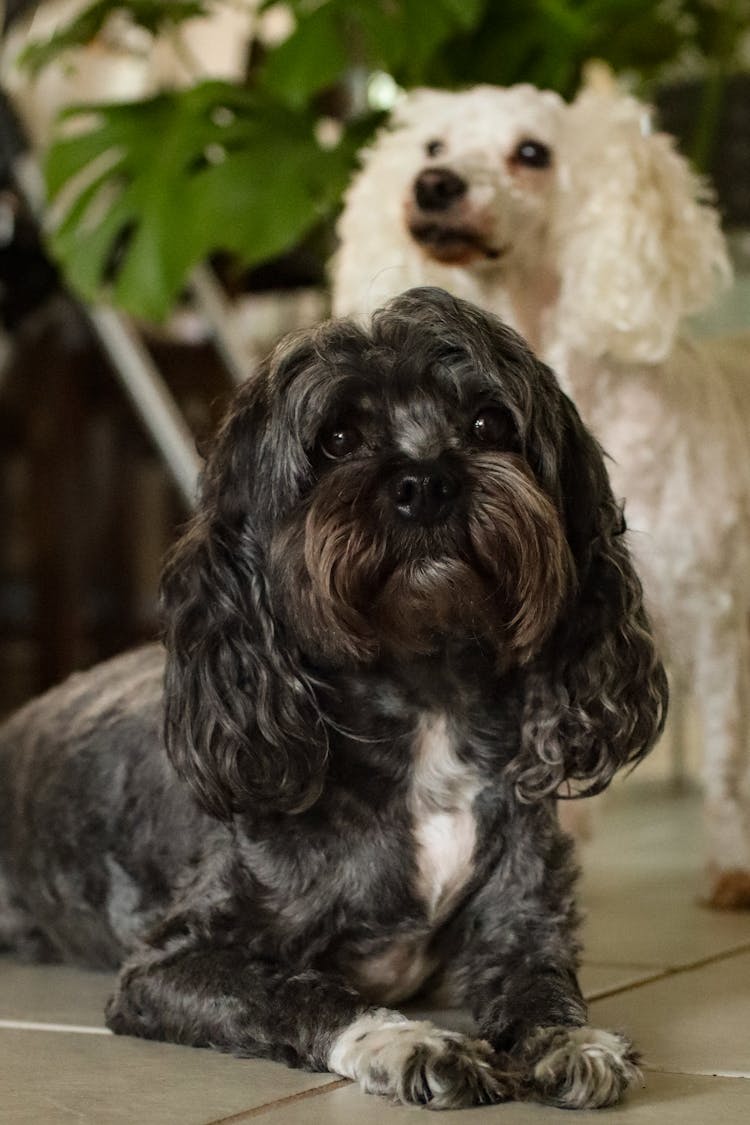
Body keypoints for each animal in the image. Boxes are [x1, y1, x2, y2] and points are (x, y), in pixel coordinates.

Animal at [0, 288, 670, 1107]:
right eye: (338, 438)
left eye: (489, 423)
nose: (426, 482)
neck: (427, 704)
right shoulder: (167, 963)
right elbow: (293, 991)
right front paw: (403, 1039)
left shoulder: (522, 920)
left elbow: (543, 982)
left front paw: (570, 1039)